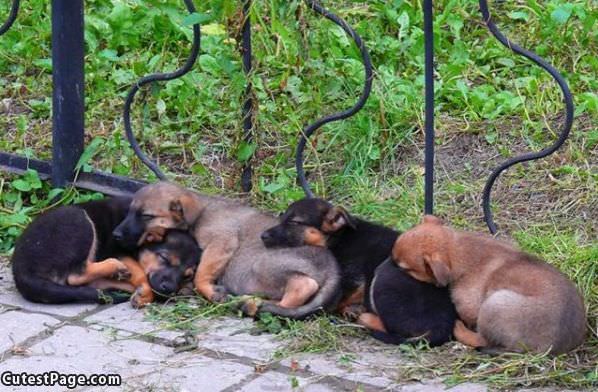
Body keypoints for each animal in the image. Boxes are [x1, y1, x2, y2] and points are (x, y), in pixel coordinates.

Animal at [113, 182, 342, 320]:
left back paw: (251, 304)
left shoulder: (220, 243)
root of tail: (333, 268)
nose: (115, 235)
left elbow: (201, 275)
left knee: (303, 286)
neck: (199, 215)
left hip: (263, 265)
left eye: (146, 216)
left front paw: (211, 292)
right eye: (129, 212)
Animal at [260, 199, 458, 346]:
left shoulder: (351, 282)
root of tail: (442, 327)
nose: (262, 236)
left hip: (384, 273)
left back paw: (362, 316)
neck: (338, 237)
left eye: (295, 222)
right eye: (282, 217)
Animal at [396, 216, 588, 354]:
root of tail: (549, 349)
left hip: (494, 304)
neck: (458, 248)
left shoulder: (469, 306)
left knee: (482, 340)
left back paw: (459, 329)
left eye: (404, 268)